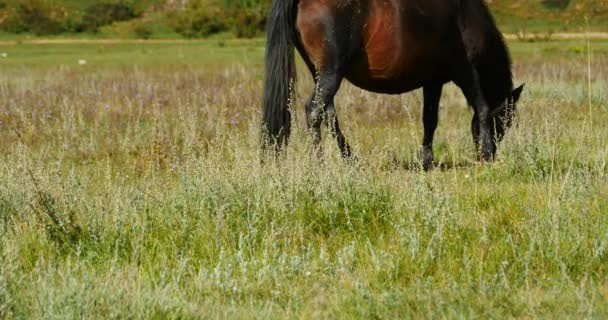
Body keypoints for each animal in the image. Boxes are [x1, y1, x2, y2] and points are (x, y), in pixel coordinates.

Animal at [262, 0, 524, 170]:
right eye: (505, 121)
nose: (495, 152)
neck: (465, 16)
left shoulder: (433, 81)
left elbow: (430, 120)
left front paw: (426, 161)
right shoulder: (465, 71)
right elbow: (482, 107)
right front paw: (486, 154)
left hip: (321, 74)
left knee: (329, 115)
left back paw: (350, 159)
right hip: (331, 73)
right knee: (314, 111)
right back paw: (319, 164)